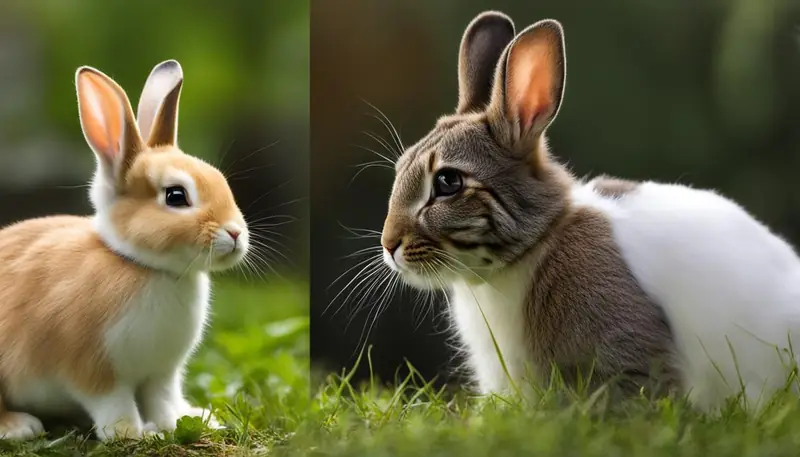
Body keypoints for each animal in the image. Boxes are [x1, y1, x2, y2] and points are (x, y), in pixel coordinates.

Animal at [0, 59, 249, 441]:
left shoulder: (161, 374)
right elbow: (114, 408)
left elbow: (163, 400)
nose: (235, 233)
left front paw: (182, 421)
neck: (142, 266)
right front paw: (137, 433)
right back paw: (19, 426)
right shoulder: (94, 369)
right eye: (176, 196)